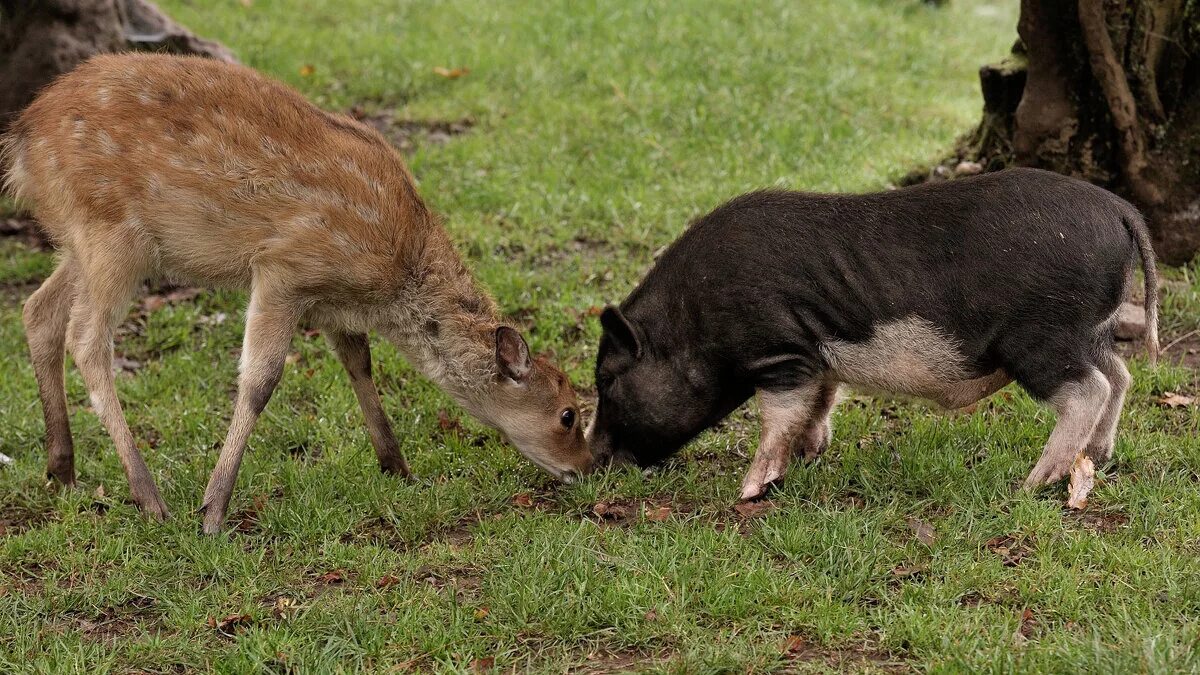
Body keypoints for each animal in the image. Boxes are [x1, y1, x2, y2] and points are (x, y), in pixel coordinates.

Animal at [3, 53, 595, 530]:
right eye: (569, 413)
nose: (587, 468)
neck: (395, 275)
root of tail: (23, 141)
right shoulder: (284, 268)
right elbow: (260, 380)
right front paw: (213, 511)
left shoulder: (329, 299)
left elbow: (358, 362)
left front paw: (397, 466)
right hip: (113, 234)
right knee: (86, 338)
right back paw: (150, 499)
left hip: (81, 241)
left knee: (38, 311)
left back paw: (62, 470)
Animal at [585, 165, 1156, 497]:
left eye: (607, 380)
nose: (591, 461)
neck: (692, 320)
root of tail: (1121, 210)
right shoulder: (814, 356)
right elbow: (819, 402)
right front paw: (810, 457)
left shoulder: (779, 352)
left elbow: (778, 417)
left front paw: (748, 491)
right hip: (1089, 328)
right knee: (1120, 375)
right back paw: (1099, 459)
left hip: (1042, 336)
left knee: (1089, 388)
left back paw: (1032, 483)